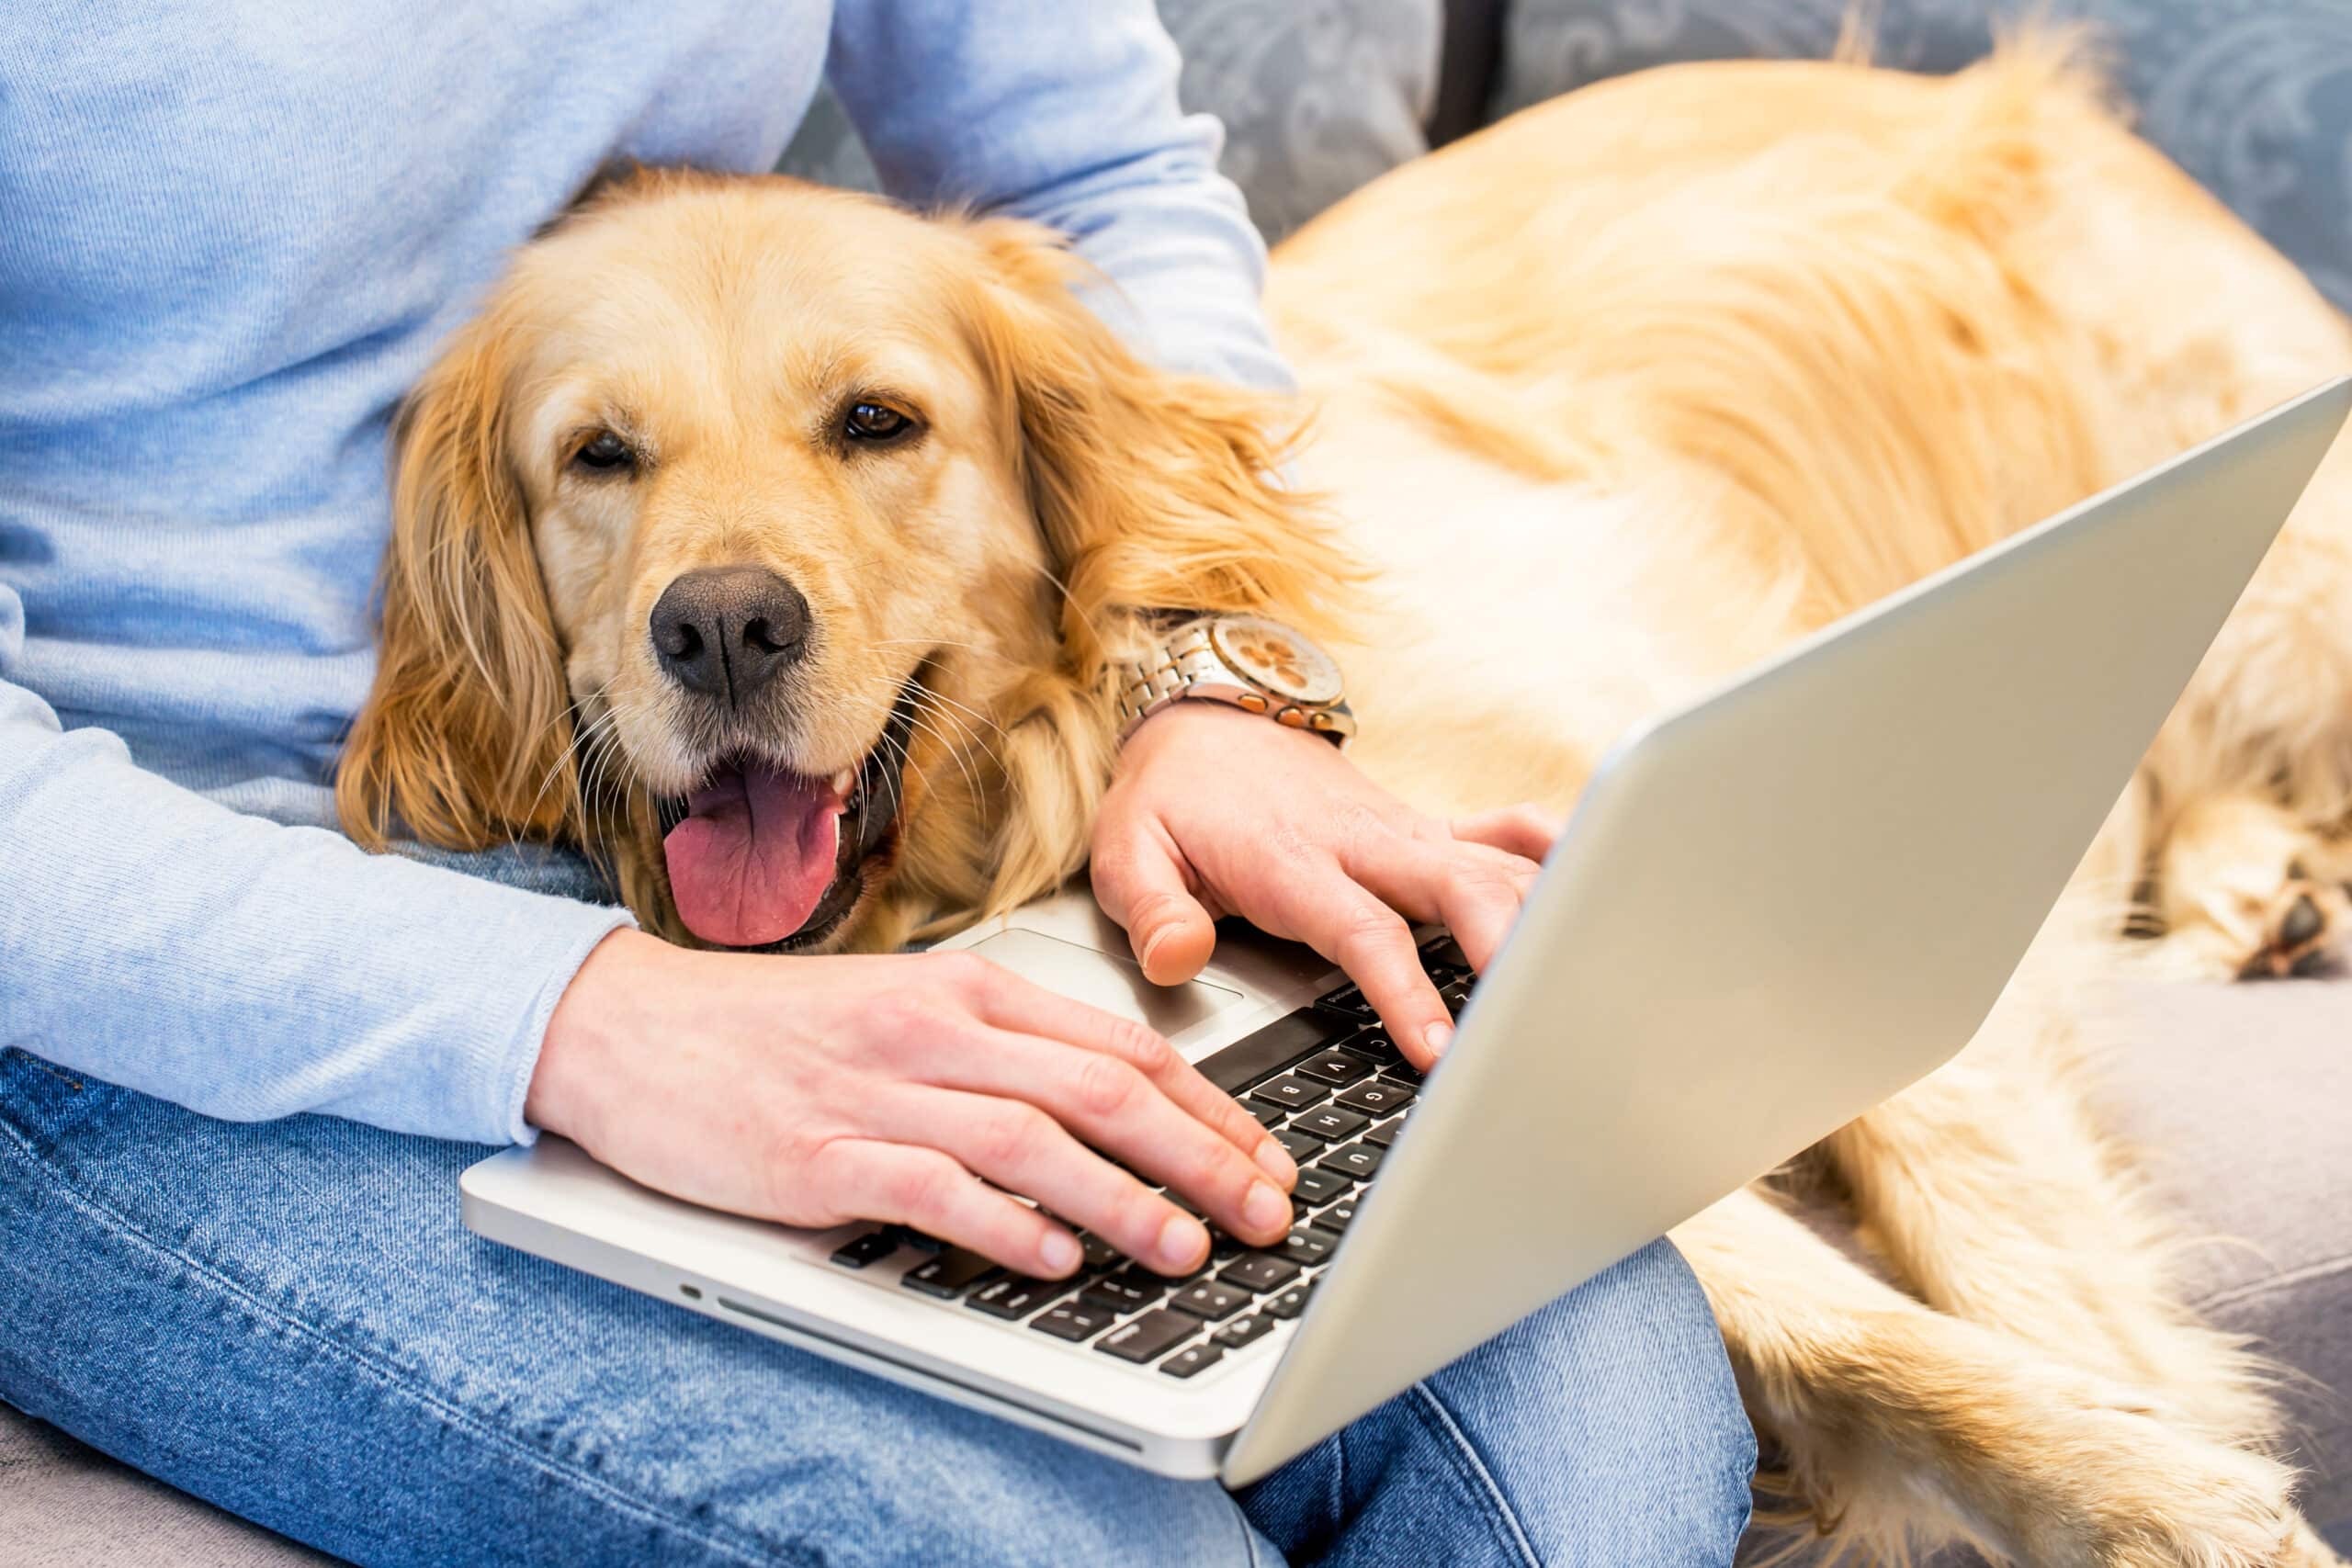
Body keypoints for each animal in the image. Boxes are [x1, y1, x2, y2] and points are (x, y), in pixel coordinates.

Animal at [343, 42, 2352, 1568]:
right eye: (598, 457)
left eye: (876, 424)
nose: (721, 627)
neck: (1051, 768)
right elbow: (1787, 1276)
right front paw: (2165, 1481)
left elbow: (1995, 1233)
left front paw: (2167, 1459)